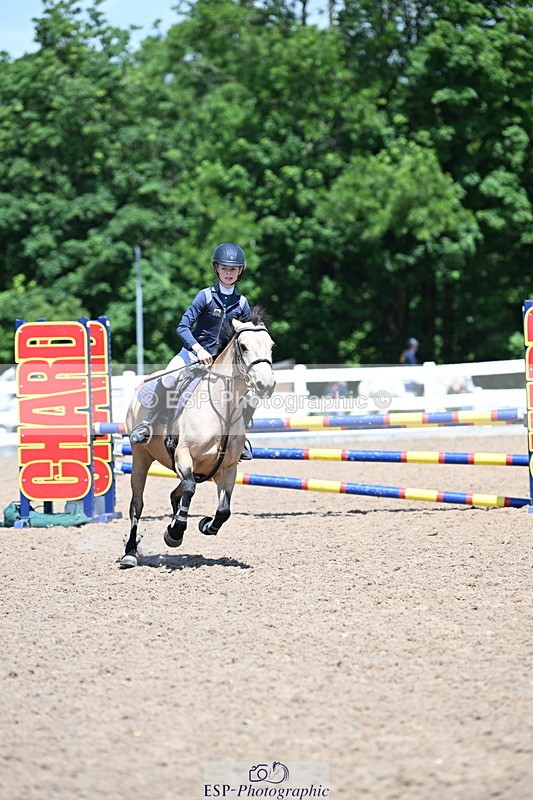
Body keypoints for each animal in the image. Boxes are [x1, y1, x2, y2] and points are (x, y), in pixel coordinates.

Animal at [119, 306, 275, 568]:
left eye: (271, 345)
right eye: (243, 346)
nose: (266, 385)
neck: (222, 410)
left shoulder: (228, 468)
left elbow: (224, 509)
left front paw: (204, 525)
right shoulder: (184, 455)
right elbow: (190, 488)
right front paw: (175, 532)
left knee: (176, 493)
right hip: (141, 457)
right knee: (137, 504)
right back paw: (130, 553)